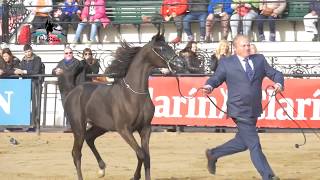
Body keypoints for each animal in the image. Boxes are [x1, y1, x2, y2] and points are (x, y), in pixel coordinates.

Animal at [64, 32, 184, 180]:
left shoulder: (145, 129)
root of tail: (73, 90)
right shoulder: (124, 130)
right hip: (78, 128)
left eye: (169, 46)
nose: (181, 63)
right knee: (76, 153)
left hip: (101, 126)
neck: (133, 95)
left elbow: (146, 157)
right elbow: (141, 154)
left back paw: (102, 168)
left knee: (89, 138)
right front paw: (135, 176)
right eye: (160, 48)